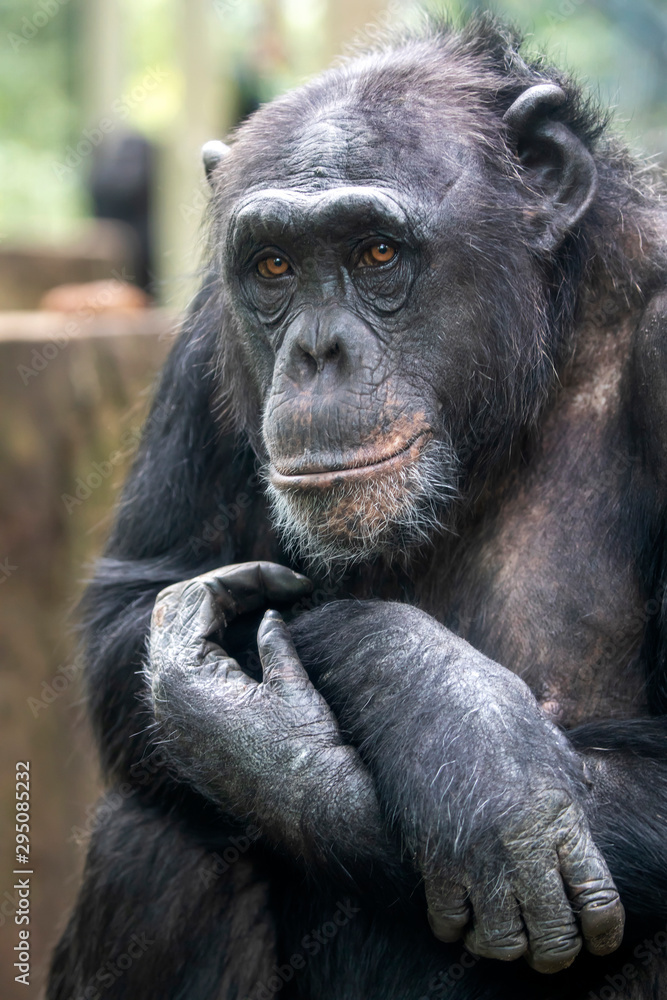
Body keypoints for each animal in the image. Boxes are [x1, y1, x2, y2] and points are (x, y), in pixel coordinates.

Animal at [48, 13, 667, 1000]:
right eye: (272, 266)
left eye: (376, 251)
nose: (316, 352)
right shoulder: (203, 334)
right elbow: (136, 606)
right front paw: (321, 740)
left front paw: (461, 750)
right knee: (160, 831)